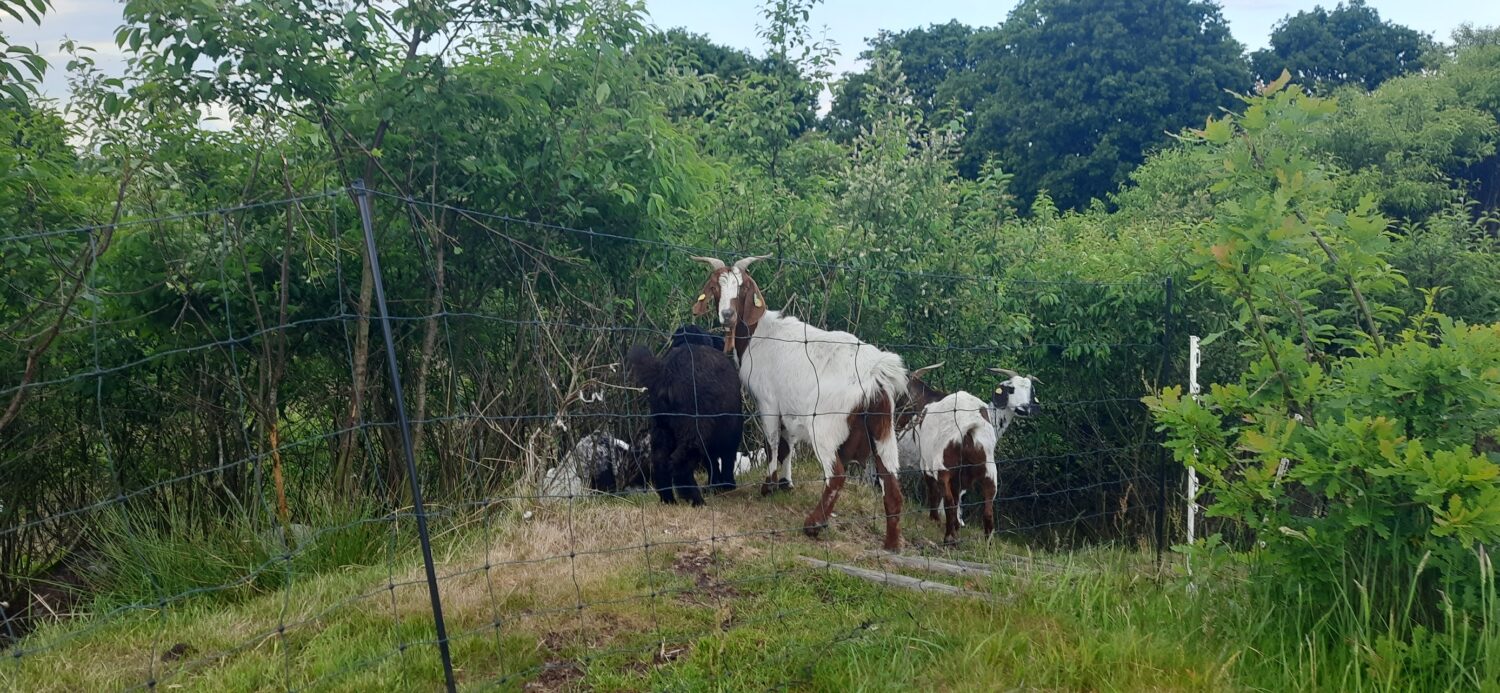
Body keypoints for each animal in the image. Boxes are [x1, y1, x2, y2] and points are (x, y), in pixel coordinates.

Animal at [626, 326, 744, 506]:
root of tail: (666, 374)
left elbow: (712, 463)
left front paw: (715, 486)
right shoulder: (732, 433)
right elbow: (726, 460)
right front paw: (727, 485)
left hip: (662, 426)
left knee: (660, 460)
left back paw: (668, 499)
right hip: (694, 428)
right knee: (680, 463)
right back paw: (696, 500)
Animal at [690, 254, 909, 551]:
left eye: (743, 287)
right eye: (715, 287)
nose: (728, 315)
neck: (759, 334)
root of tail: (876, 372)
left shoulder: (768, 402)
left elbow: (771, 442)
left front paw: (768, 486)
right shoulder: (789, 407)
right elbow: (787, 445)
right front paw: (786, 483)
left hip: (826, 427)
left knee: (836, 475)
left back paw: (813, 525)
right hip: (883, 431)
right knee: (892, 484)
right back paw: (891, 543)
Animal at [917, 368, 1040, 543]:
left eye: (1030, 391)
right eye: (1011, 388)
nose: (1023, 408)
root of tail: (970, 426)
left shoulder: (929, 464)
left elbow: (941, 493)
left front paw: (941, 520)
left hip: (943, 466)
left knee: (949, 499)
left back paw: (950, 536)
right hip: (990, 471)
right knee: (987, 508)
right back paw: (986, 542)